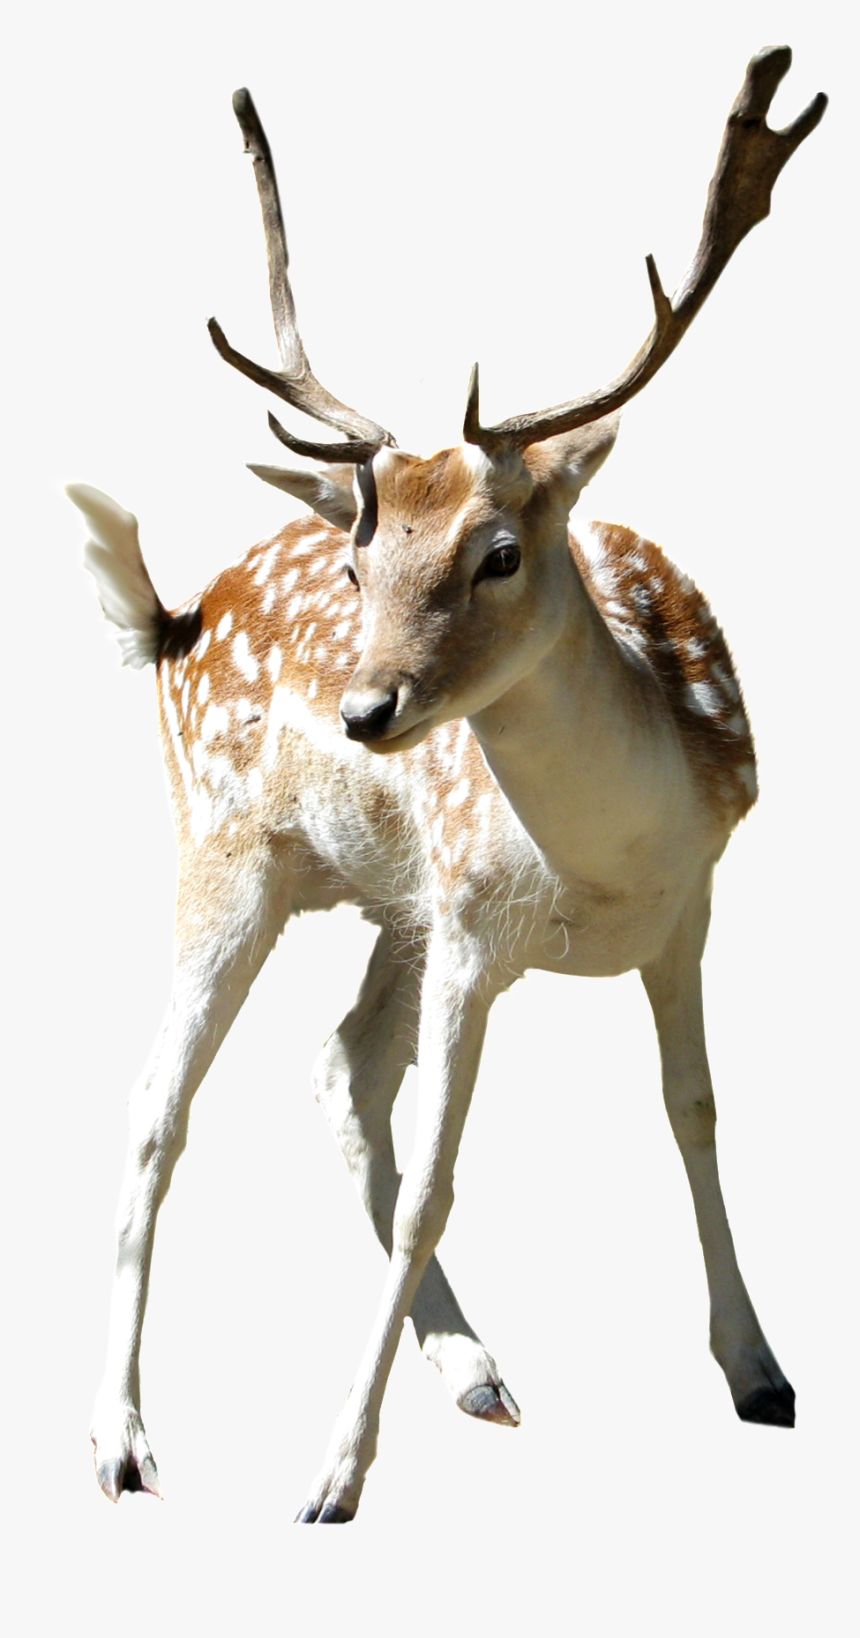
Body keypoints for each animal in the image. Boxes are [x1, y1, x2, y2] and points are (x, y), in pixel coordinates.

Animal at [67, 46, 826, 1522]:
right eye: (360, 563)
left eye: (499, 552)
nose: (366, 709)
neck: (604, 867)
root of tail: (176, 617)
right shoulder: (475, 931)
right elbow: (435, 1183)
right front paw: (331, 1474)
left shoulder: (688, 907)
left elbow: (695, 1112)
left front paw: (760, 1370)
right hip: (230, 855)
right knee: (156, 1105)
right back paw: (122, 1442)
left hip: (387, 902)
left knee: (336, 1066)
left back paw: (473, 1367)